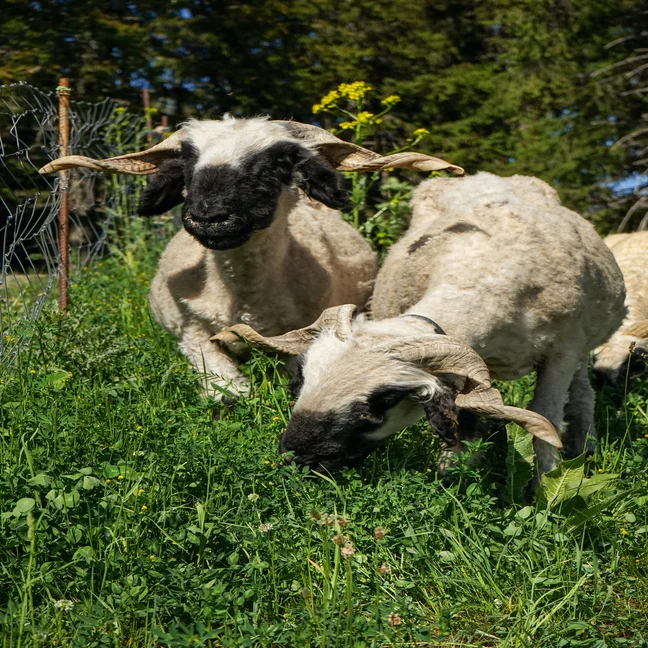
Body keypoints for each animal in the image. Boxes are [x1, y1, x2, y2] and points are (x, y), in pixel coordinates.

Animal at [40, 117, 462, 402]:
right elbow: (228, 388)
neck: (242, 298)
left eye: (279, 162)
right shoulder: (192, 334)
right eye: (187, 162)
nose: (209, 216)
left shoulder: (303, 332)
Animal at [214, 172, 626, 477]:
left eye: (385, 401)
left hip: (582, 348)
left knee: (582, 397)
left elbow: (546, 419)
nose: (295, 457)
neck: (487, 269)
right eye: (301, 379)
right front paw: (453, 476)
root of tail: (488, 176)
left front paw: (545, 491)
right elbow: (466, 422)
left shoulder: (562, 352)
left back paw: (586, 448)